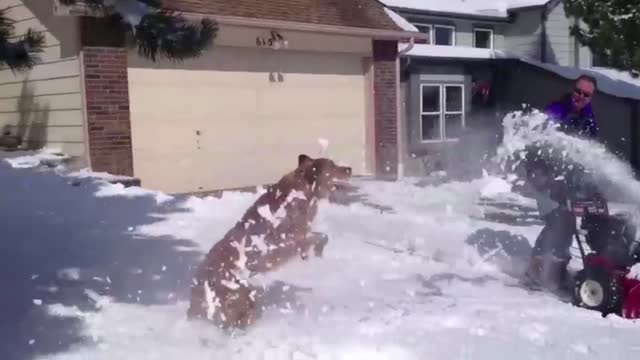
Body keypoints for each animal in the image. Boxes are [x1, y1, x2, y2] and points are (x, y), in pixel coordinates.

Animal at [185, 153, 356, 328]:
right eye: (332, 166)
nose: (350, 168)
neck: (300, 192)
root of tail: (198, 281)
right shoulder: (287, 243)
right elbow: (319, 237)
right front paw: (315, 252)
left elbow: (320, 236)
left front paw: (309, 254)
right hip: (239, 298)